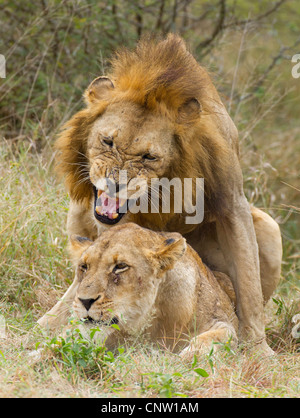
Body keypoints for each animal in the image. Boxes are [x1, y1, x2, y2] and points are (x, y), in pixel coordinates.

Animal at [38, 35, 282, 352]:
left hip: (268, 227)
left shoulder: (232, 201)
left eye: (149, 157)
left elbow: (249, 286)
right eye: (108, 141)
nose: (115, 184)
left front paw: (257, 349)